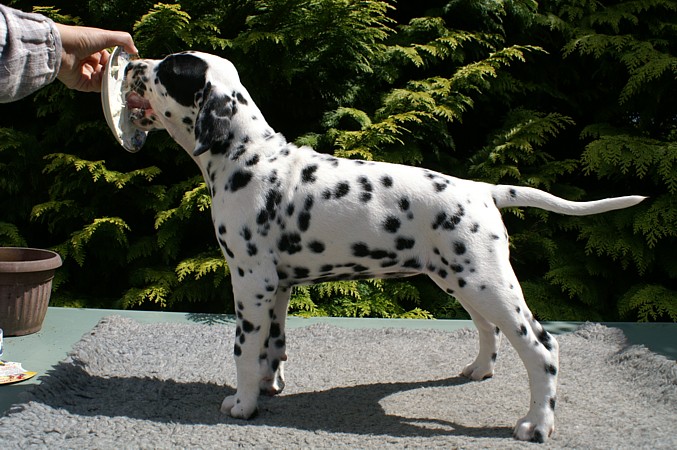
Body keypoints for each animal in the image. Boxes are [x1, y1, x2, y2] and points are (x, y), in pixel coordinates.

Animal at [122, 51, 645, 442]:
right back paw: (478, 370)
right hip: (463, 280)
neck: (248, 156)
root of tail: (483, 189)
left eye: (169, 68)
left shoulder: (251, 281)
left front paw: (242, 402)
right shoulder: (279, 287)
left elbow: (244, 348)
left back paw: (536, 424)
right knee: (489, 329)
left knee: (541, 346)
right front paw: (270, 387)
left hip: (488, 283)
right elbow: (273, 344)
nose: (130, 64)